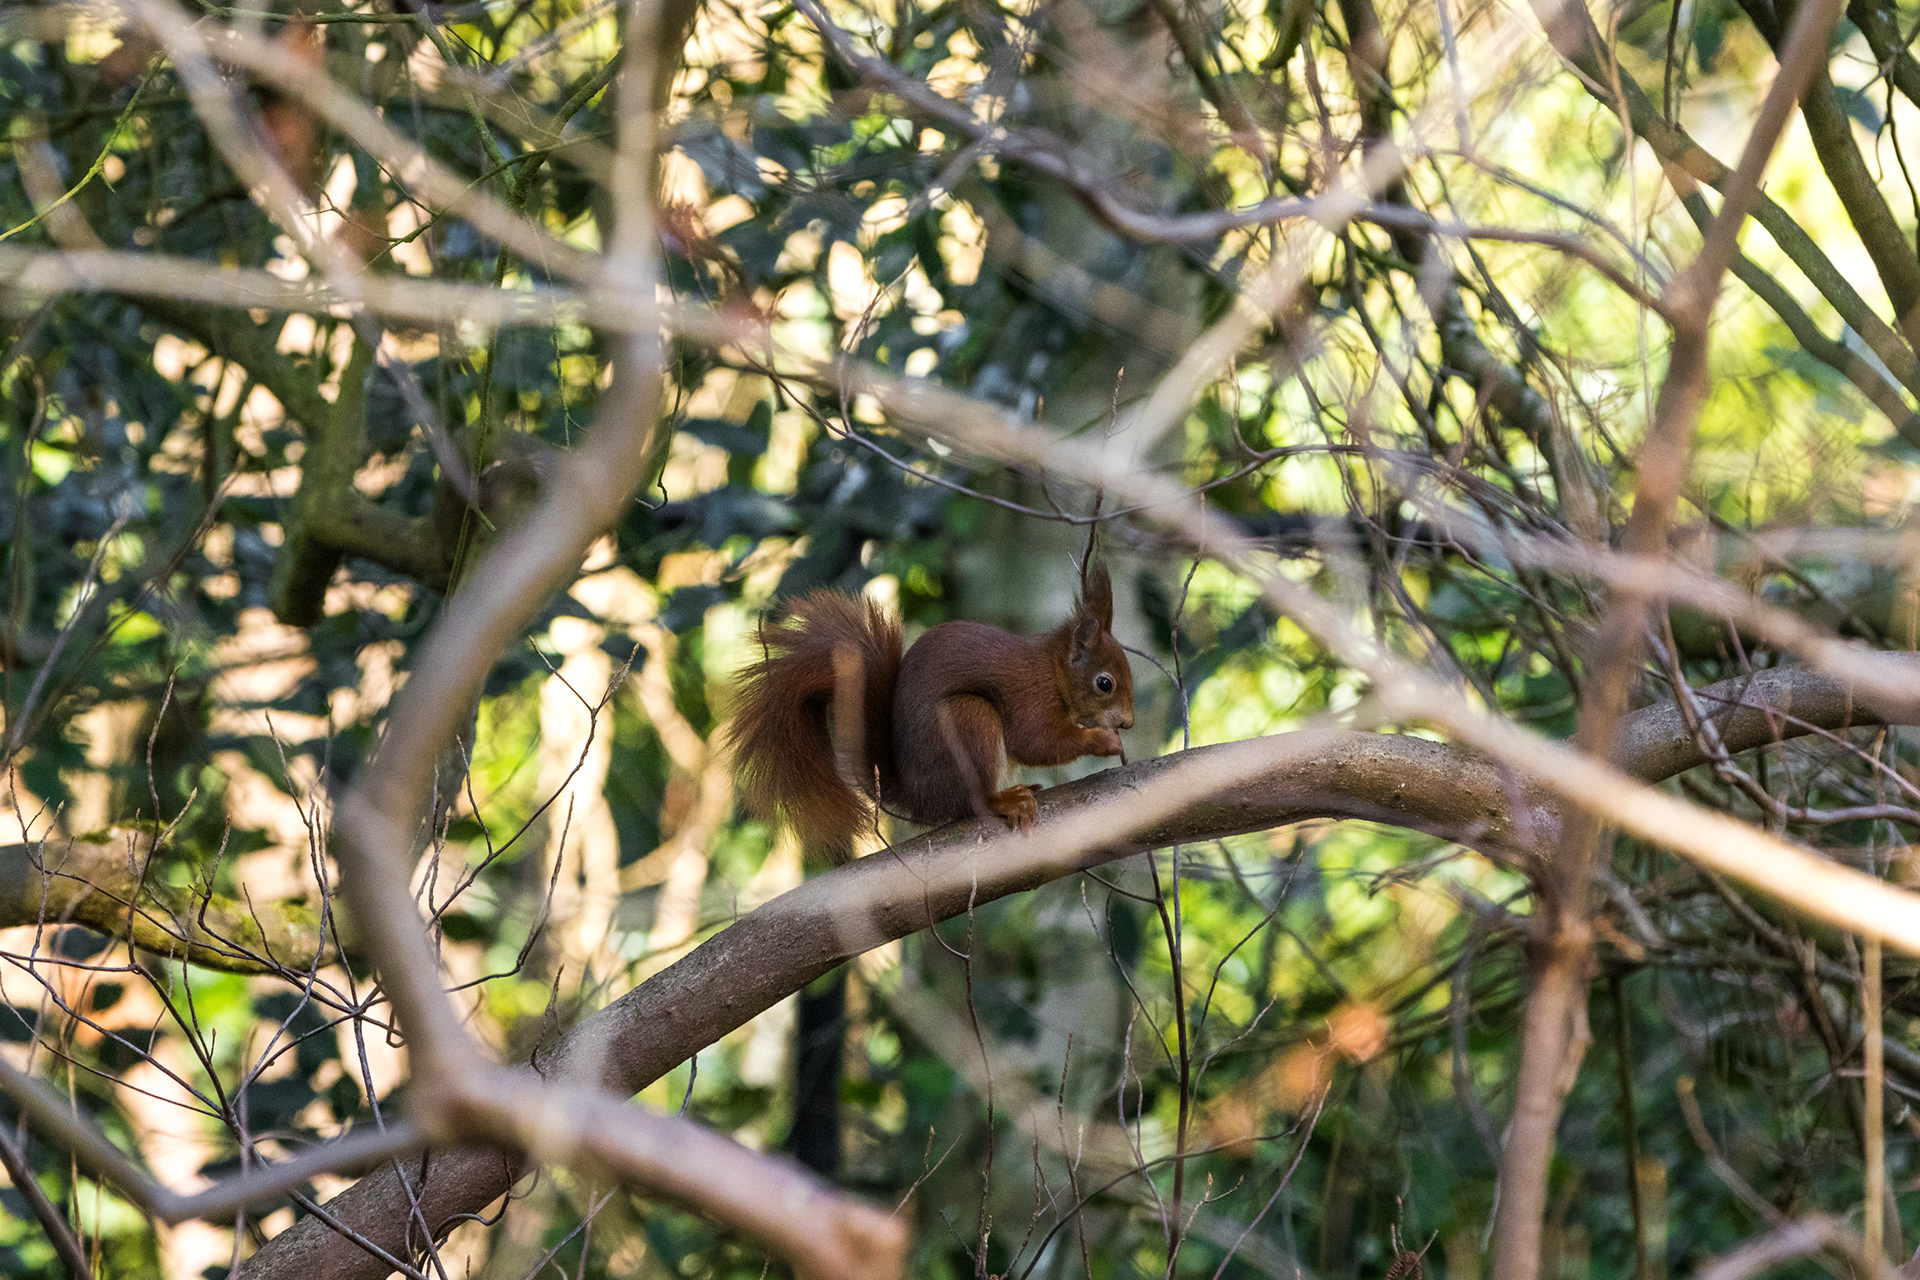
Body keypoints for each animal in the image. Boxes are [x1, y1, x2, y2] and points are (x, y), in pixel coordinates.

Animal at [725, 565, 1136, 863]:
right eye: (1104, 683)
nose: (1128, 723)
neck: (1053, 671)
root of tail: (918, 796)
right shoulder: (1029, 695)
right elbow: (1036, 742)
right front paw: (1103, 741)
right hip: (969, 718)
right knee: (972, 801)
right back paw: (1002, 801)